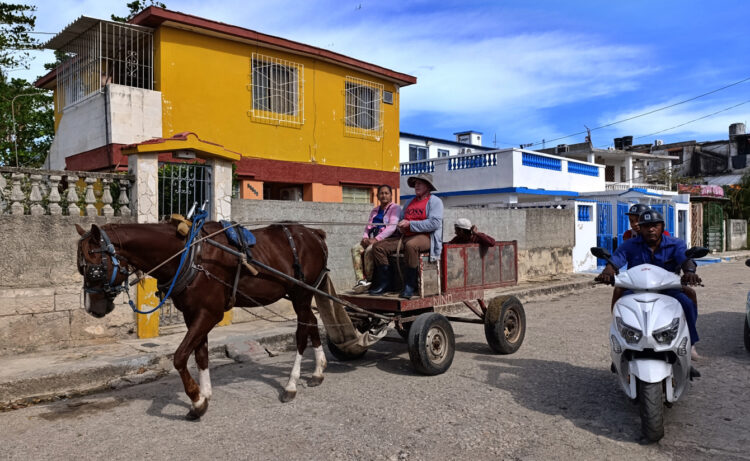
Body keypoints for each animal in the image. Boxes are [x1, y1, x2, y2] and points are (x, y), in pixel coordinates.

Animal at [75, 219, 328, 416]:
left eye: (93, 270)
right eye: (81, 269)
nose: (91, 309)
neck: (189, 255)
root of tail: (314, 233)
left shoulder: (209, 313)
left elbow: (180, 356)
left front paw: (196, 400)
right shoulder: (192, 313)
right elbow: (201, 355)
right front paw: (205, 394)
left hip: (301, 294)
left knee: (301, 333)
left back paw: (291, 385)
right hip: (301, 295)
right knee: (312, 322)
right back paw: (318, 371)